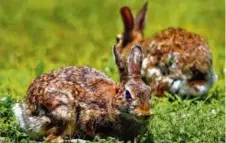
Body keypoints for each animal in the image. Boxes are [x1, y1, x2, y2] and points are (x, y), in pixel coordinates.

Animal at [13, 45, 153, 142]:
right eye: (128, 94)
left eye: (149, 93)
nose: (145, 114)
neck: (113, 105)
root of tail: (27, 113)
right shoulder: (89, 117)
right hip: (64, 111)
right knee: (52, 138)